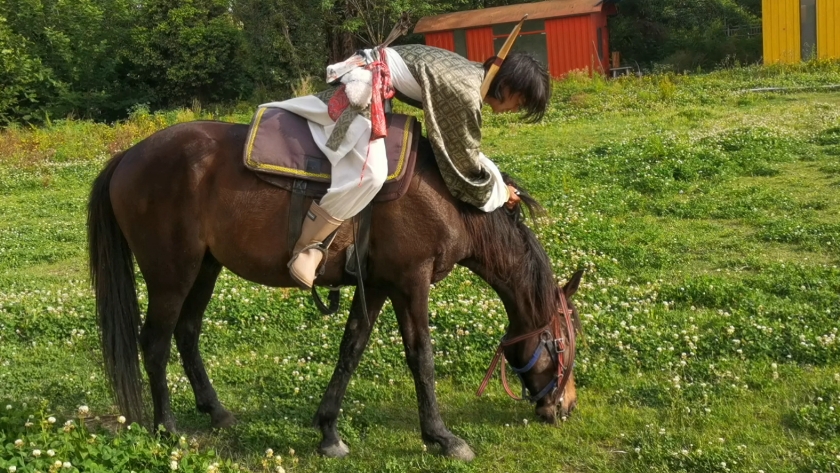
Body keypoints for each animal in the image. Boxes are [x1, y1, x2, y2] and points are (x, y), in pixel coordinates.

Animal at [87, 119, 584, 460]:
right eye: (565, 340)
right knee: (155, 343)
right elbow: (420, 357)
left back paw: (217, 411)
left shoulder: (379, 285)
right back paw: (167, 427)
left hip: (205, 269)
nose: (565, 406)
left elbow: (352, 349)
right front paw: (441, 437)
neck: (445, 196)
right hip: (171, 274)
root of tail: (127, 156)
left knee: (187, 334)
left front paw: (328, 431)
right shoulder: (412, 281)